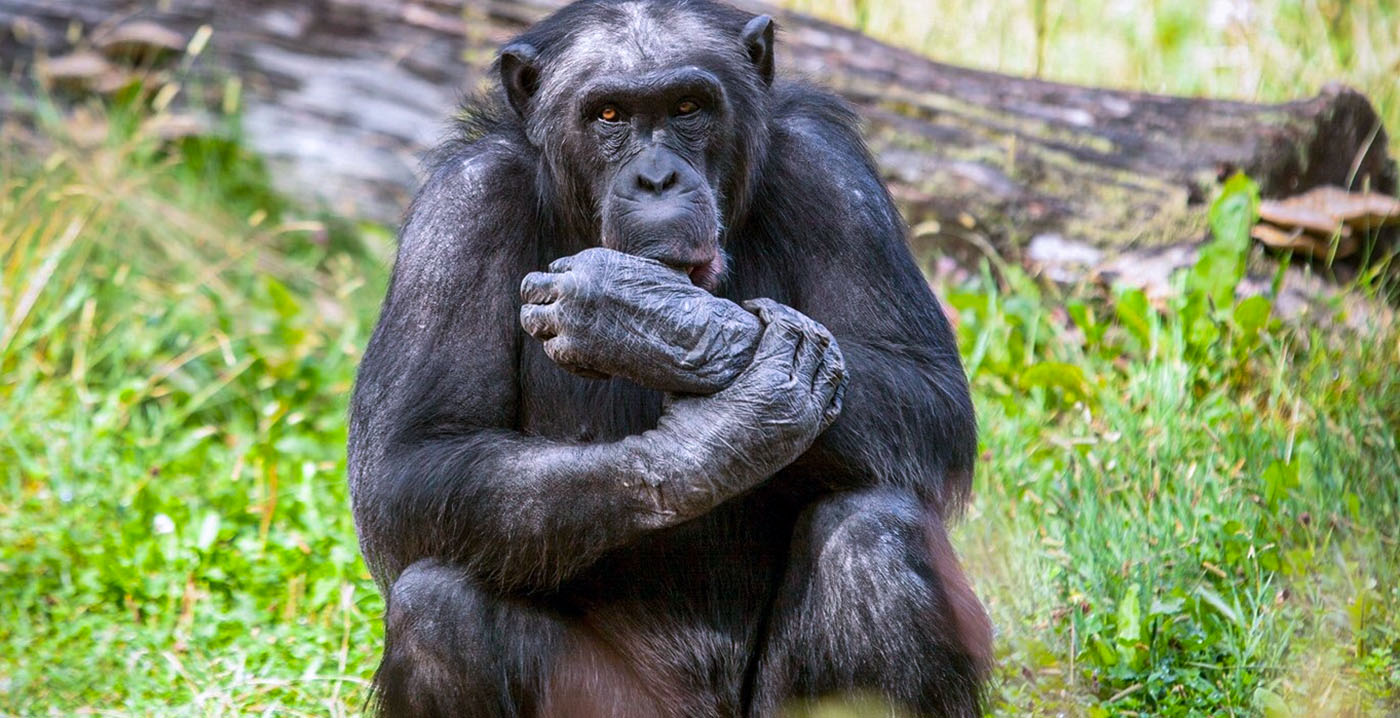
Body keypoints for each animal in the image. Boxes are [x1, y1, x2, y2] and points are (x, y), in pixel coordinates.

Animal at [344, 2, 991, 713]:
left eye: (687, 107)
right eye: (609, 116)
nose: (657, 178)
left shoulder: (830, 171)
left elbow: (926, 390)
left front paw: (655, 316)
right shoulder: (460, 211)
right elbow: (413, 458)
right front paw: (716, 431)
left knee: (874, 538)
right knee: (437, 610)